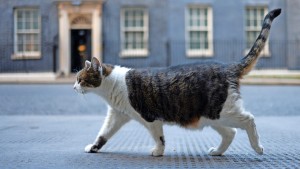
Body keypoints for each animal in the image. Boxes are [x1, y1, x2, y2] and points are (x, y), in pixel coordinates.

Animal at [73, 8, 282, 156]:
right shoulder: (117, 115)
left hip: (222, 111)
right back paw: (217, 152)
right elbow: (103, 134)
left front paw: (158, 152)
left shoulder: (150, 118)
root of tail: (227, 66)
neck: (113, 85)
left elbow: (159, 137)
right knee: (230, 133)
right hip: (212, 117)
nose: (74, 87)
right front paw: (93, 147)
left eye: (80, 79)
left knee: (249, 120)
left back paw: (257, 147)